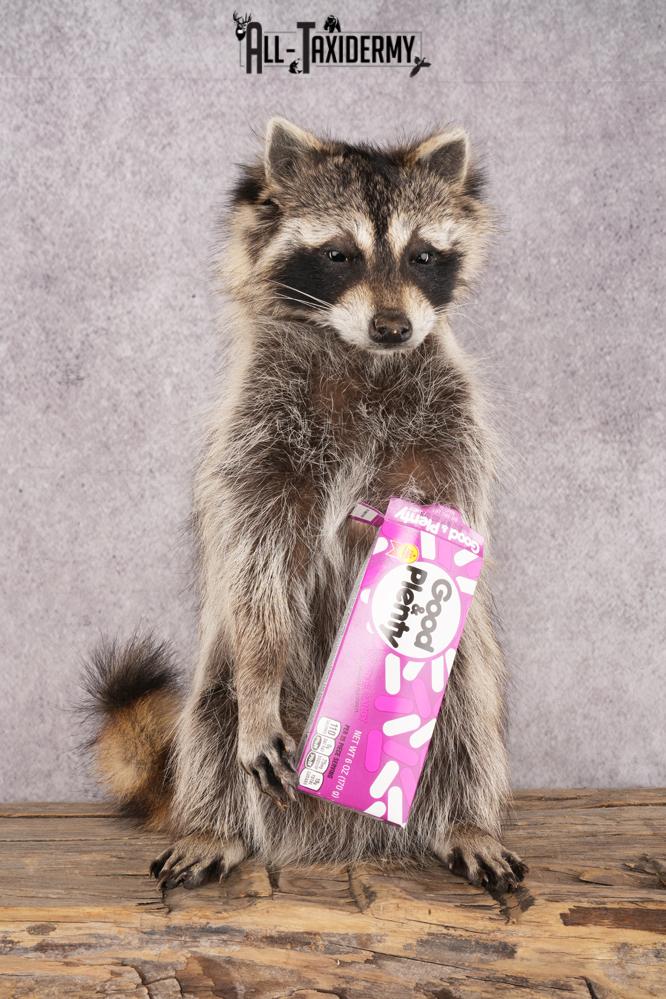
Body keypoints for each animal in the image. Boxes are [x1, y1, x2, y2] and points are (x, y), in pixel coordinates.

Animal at [83, 118, 527, 894]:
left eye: (422, 254)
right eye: (339, 254)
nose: (392, 327)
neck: (360, 353)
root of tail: (338, 834)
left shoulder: (449, 415)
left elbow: (457, 515)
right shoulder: (259, 427)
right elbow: (257, 560)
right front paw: (260, 677)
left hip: (461, 681)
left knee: (469, 718)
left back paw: (468, 821)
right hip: (223, 684)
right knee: (215, 716)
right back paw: (216, 824)